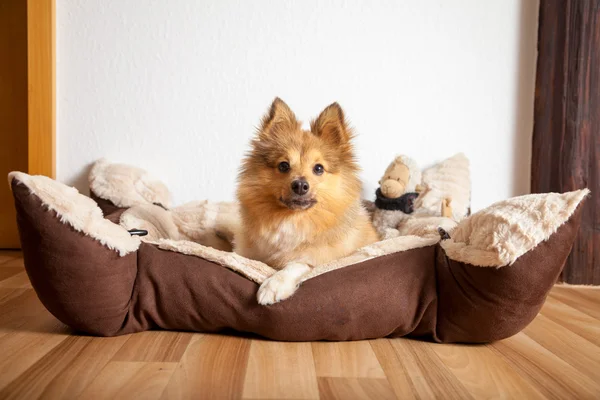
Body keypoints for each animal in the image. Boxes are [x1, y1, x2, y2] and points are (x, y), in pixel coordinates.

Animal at [236, 98, 380, 304]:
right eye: (284, 166)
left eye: (318, 168)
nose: (300, 185)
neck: (294, 219)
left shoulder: (323, 258)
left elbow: (298, 264)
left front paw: (274, 285)